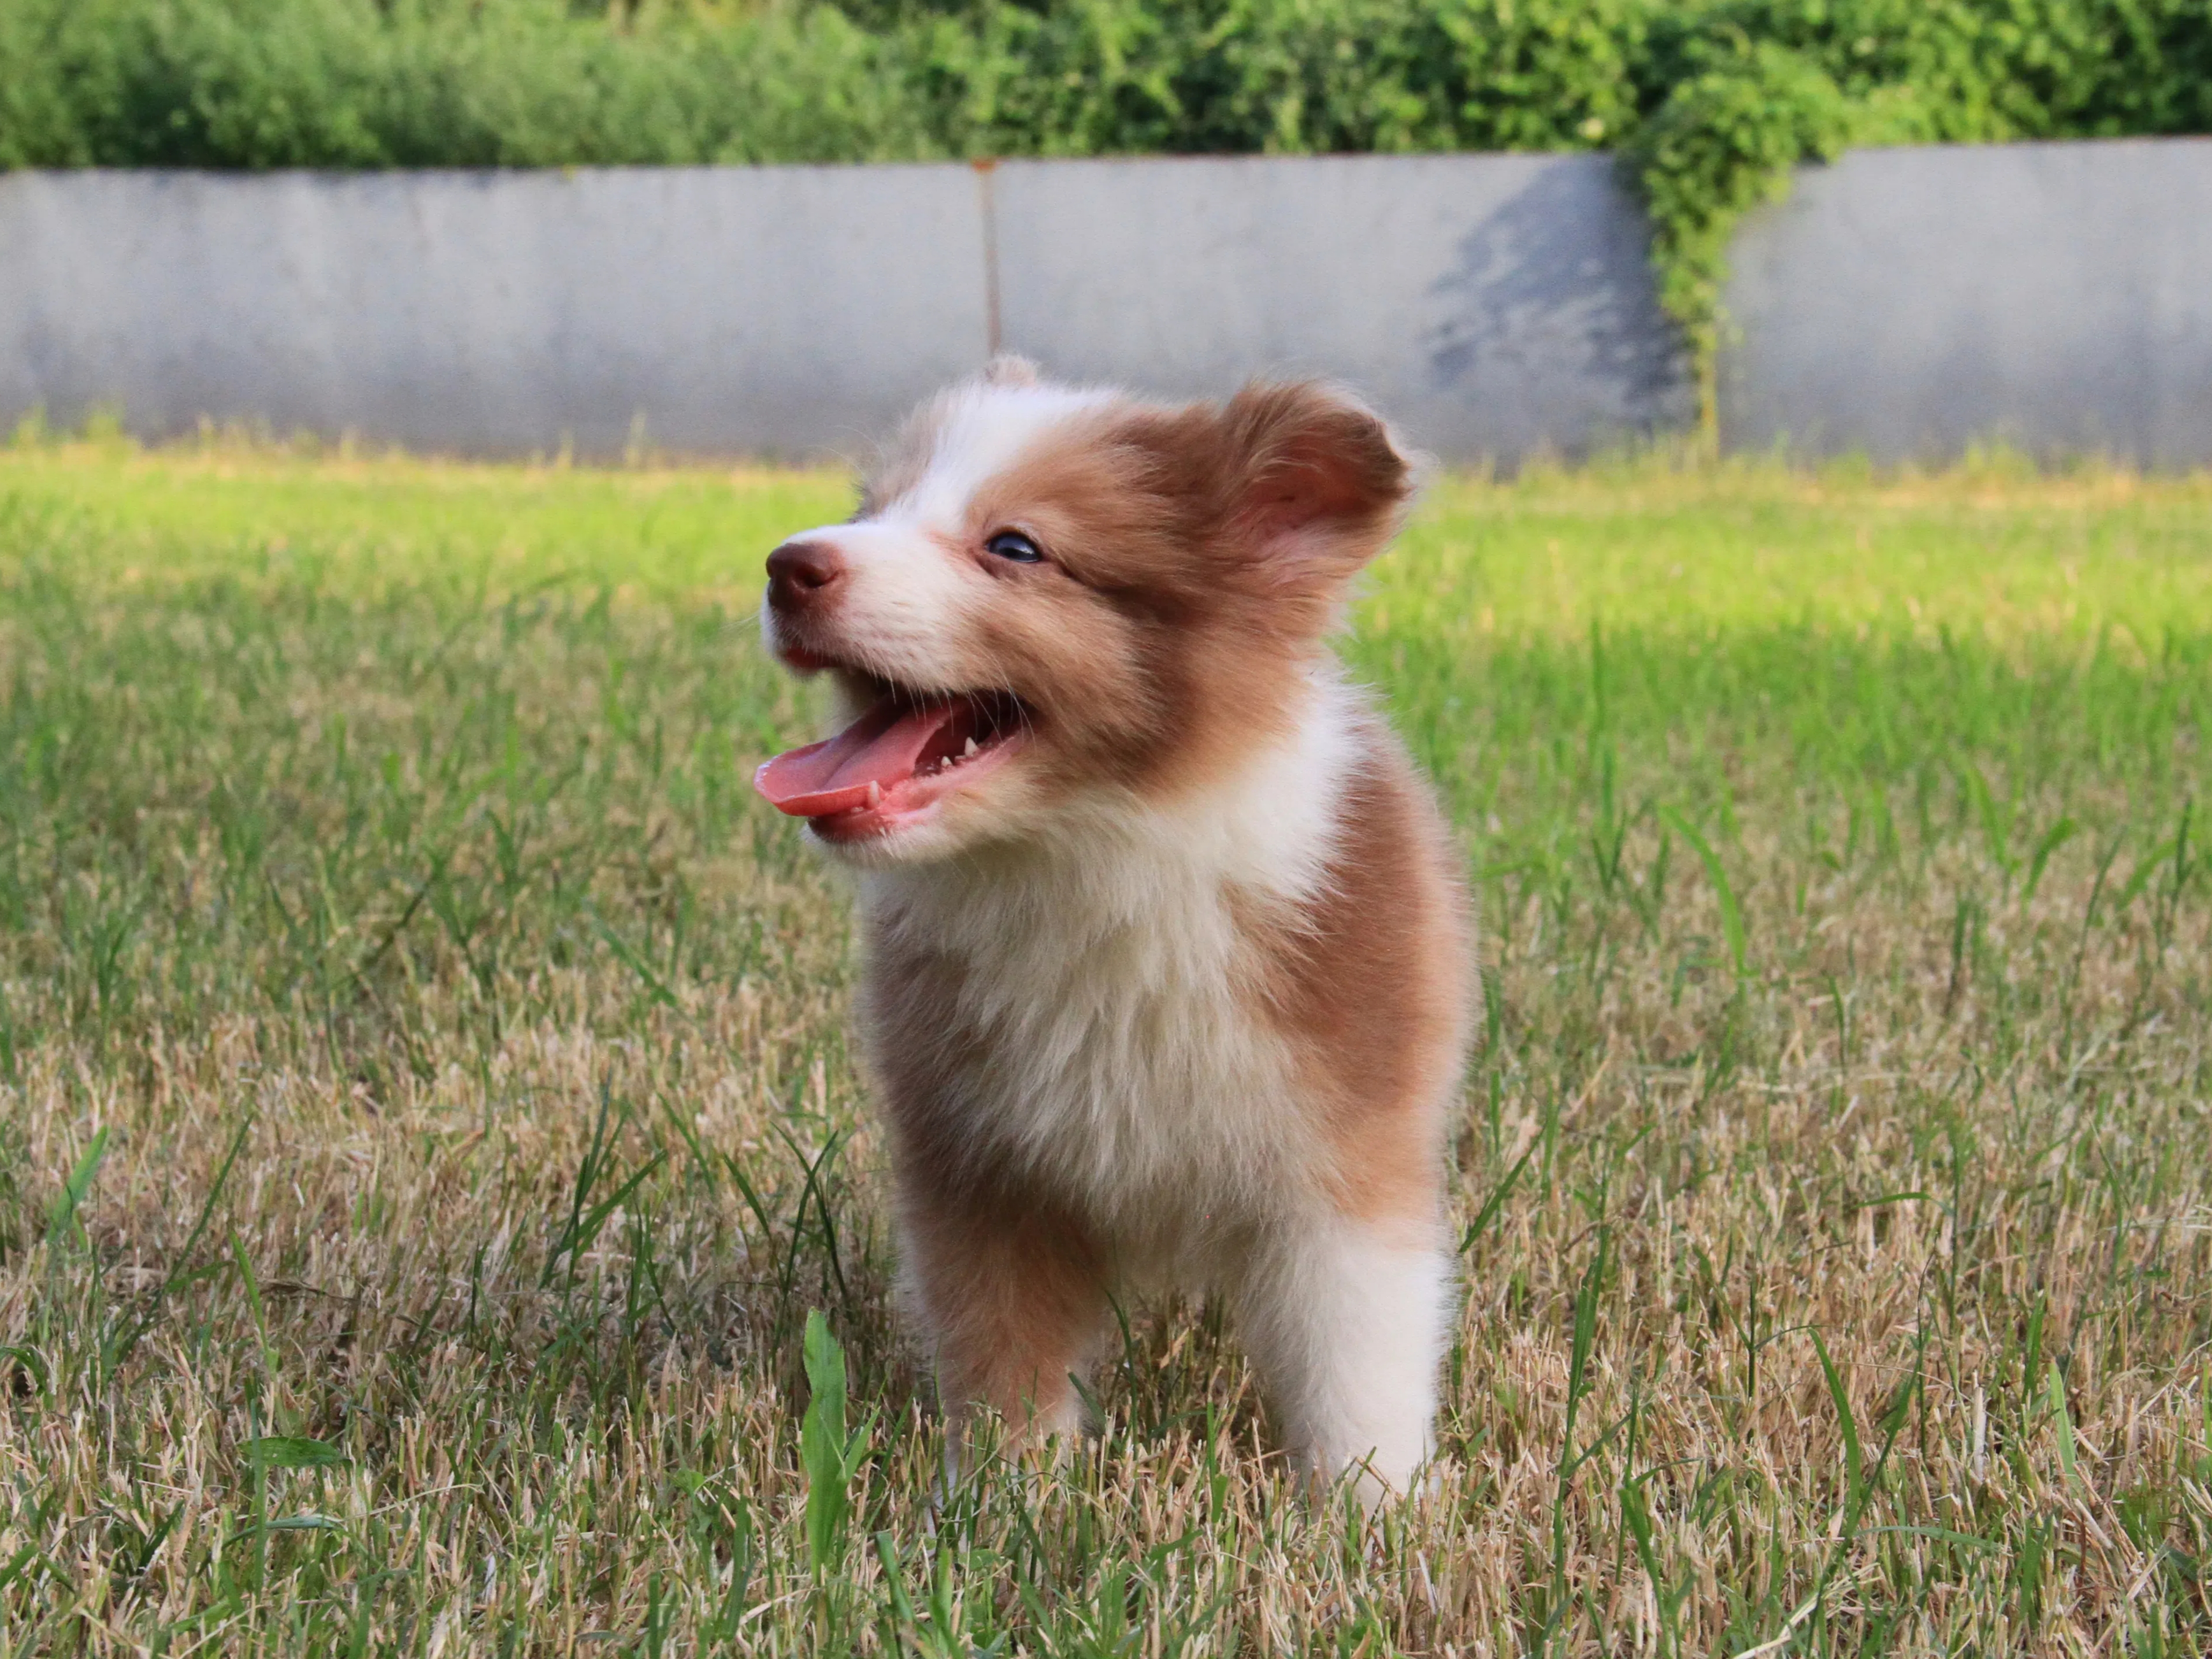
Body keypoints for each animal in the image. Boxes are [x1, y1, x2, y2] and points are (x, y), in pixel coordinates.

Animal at [761, 362, 1468, 1504]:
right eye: (871, 509)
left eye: (1015, 547)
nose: (787, 565)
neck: (1095, 851)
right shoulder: (979, 1162)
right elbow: (1002, 1350)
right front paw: (1002, 1500)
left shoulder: (1346, 1151)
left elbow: (1357, 1358)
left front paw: (1373, 1514)